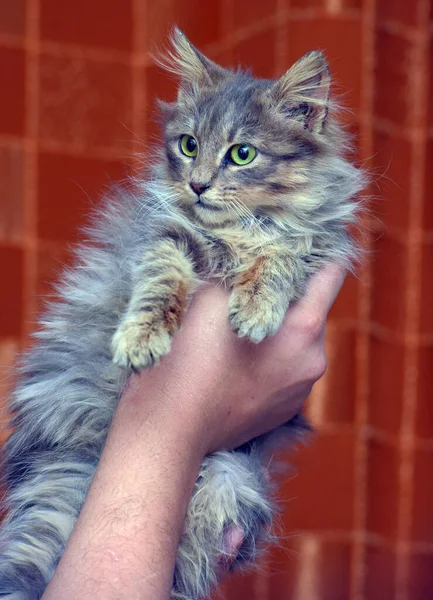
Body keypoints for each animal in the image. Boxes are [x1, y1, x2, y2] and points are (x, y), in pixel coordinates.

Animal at [0, 30, 364, 600]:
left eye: (242, 154)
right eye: (188, 145)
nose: (197, 185)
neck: (239, 229)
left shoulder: (315, 247)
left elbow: (279, 259)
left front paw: (256, 310)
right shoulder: (167, 237)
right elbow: (160, 285)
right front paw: (141, 339)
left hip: (232, 475)